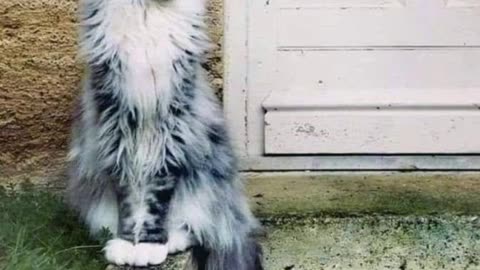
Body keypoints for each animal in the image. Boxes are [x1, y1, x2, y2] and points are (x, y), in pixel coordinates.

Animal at [65, 0, 262, 268]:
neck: (148, 15)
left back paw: (174, 240)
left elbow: (157, 200)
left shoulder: (172, 130)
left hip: (208, 181)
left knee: (197, 225)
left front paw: (150, 245)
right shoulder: (115, 127)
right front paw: (128, 244)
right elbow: (128, 198)